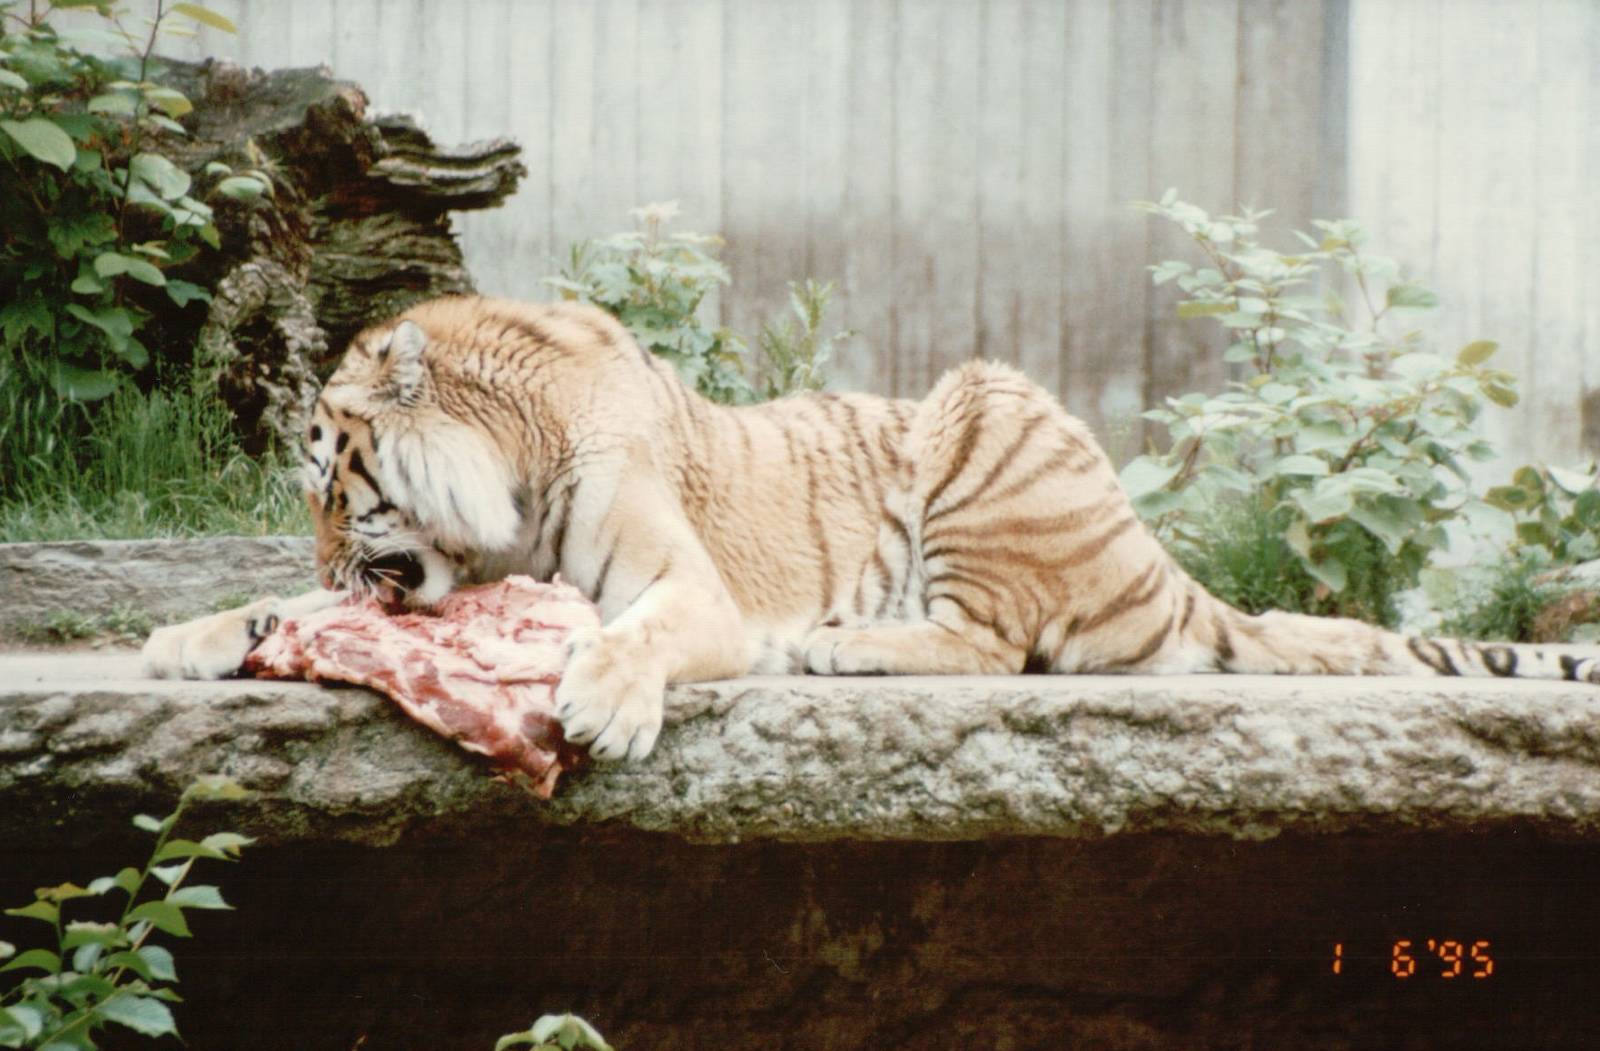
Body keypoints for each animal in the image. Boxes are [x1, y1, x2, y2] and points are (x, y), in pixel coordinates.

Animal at [143, 294, 1600, 761]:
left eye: (332, 481)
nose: (322, 553)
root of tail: (1168, 569)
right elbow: (297, 621)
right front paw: (191, 634)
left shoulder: (684, 586)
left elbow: (642, 630)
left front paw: (604, 704)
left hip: (986, 409)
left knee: (1002, 646)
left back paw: (841, 647)